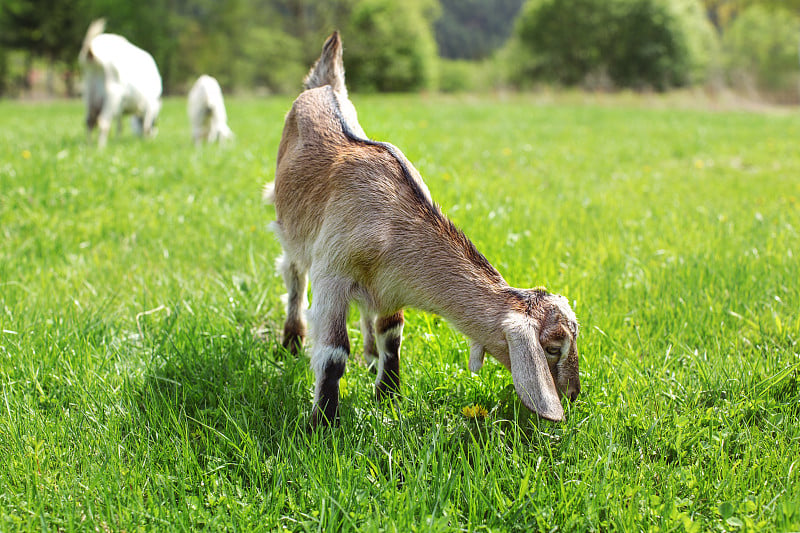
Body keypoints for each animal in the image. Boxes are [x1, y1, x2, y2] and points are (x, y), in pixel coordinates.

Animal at [80, 19, 163, 148]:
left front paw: (118, 140)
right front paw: (146, 141)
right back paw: (101, 148)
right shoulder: (150, 104)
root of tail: (92, 50)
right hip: (112, 93)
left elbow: (120, 125)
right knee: (103, 122)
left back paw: (89, 146)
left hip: (88, 92)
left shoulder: (120, 107)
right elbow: (146, 126)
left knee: (89, 122)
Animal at [266, 33, 580, 426]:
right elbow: (334, 352)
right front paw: (322, 423)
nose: (573, 394)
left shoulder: (390, 287)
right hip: (289, 227)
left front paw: (388, 396)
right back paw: (292, 342)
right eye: (552, 347)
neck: (390, 225)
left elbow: (391, 337)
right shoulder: (332, 277)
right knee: (293, 275)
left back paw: (369, 358)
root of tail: (324, 86)